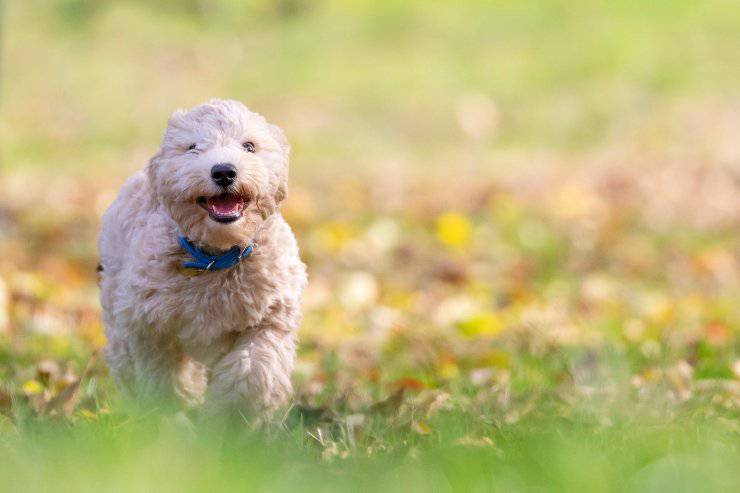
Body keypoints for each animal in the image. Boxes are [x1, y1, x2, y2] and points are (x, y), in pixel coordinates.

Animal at [98, 98, 306, 420]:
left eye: (249, 146)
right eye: (192, 147)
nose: (223, 171)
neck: (216, 257)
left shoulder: (271, 317)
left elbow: (253, 369)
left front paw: (230, 417)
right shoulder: (150, 326)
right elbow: (164, 377)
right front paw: (172, 416)